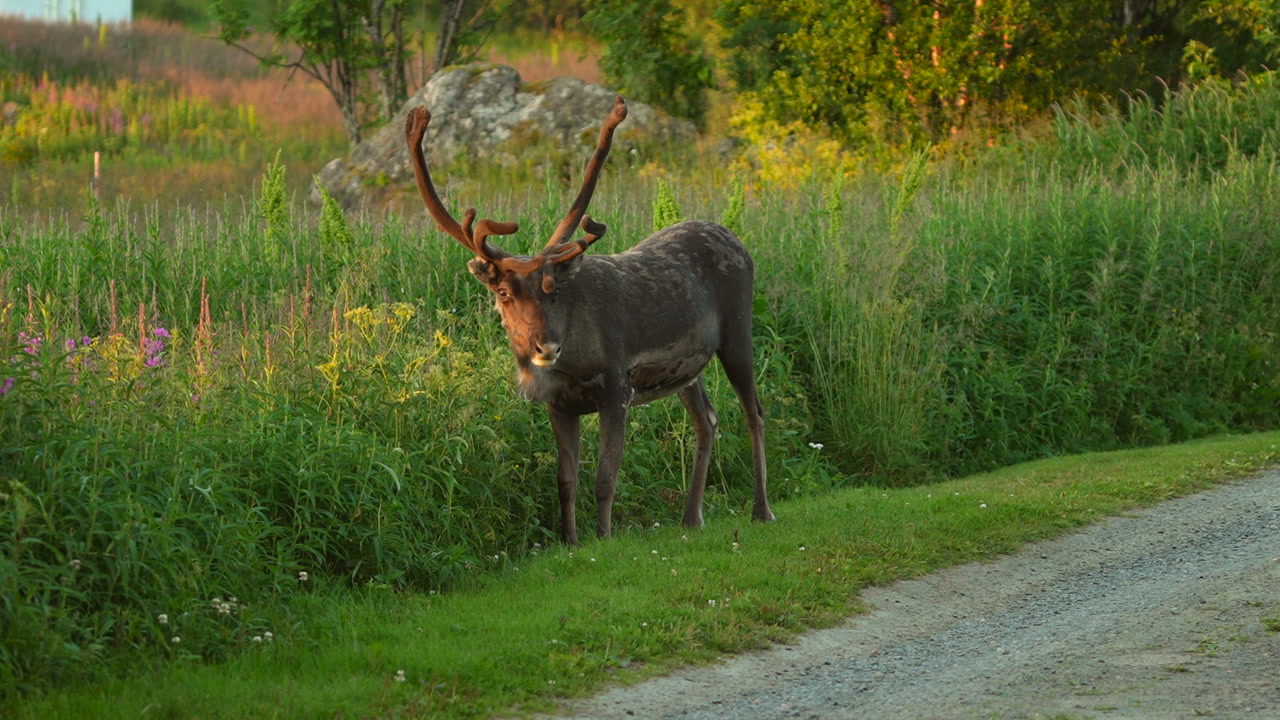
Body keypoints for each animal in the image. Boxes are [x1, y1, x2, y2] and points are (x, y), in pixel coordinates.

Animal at [405, 96, 774, 546]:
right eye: (504, 293)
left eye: (553, 290)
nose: (546, 346)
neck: (572, 361)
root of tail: (739, 241)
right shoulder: (559, 406)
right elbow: (565, 482)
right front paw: (570, 541)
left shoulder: (616, 391)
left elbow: (604, 479)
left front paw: (604, 537)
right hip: (688, 370)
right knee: (708, 419)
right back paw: (692, 517)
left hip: (738, 332)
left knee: (754, 413)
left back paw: (761, 510)